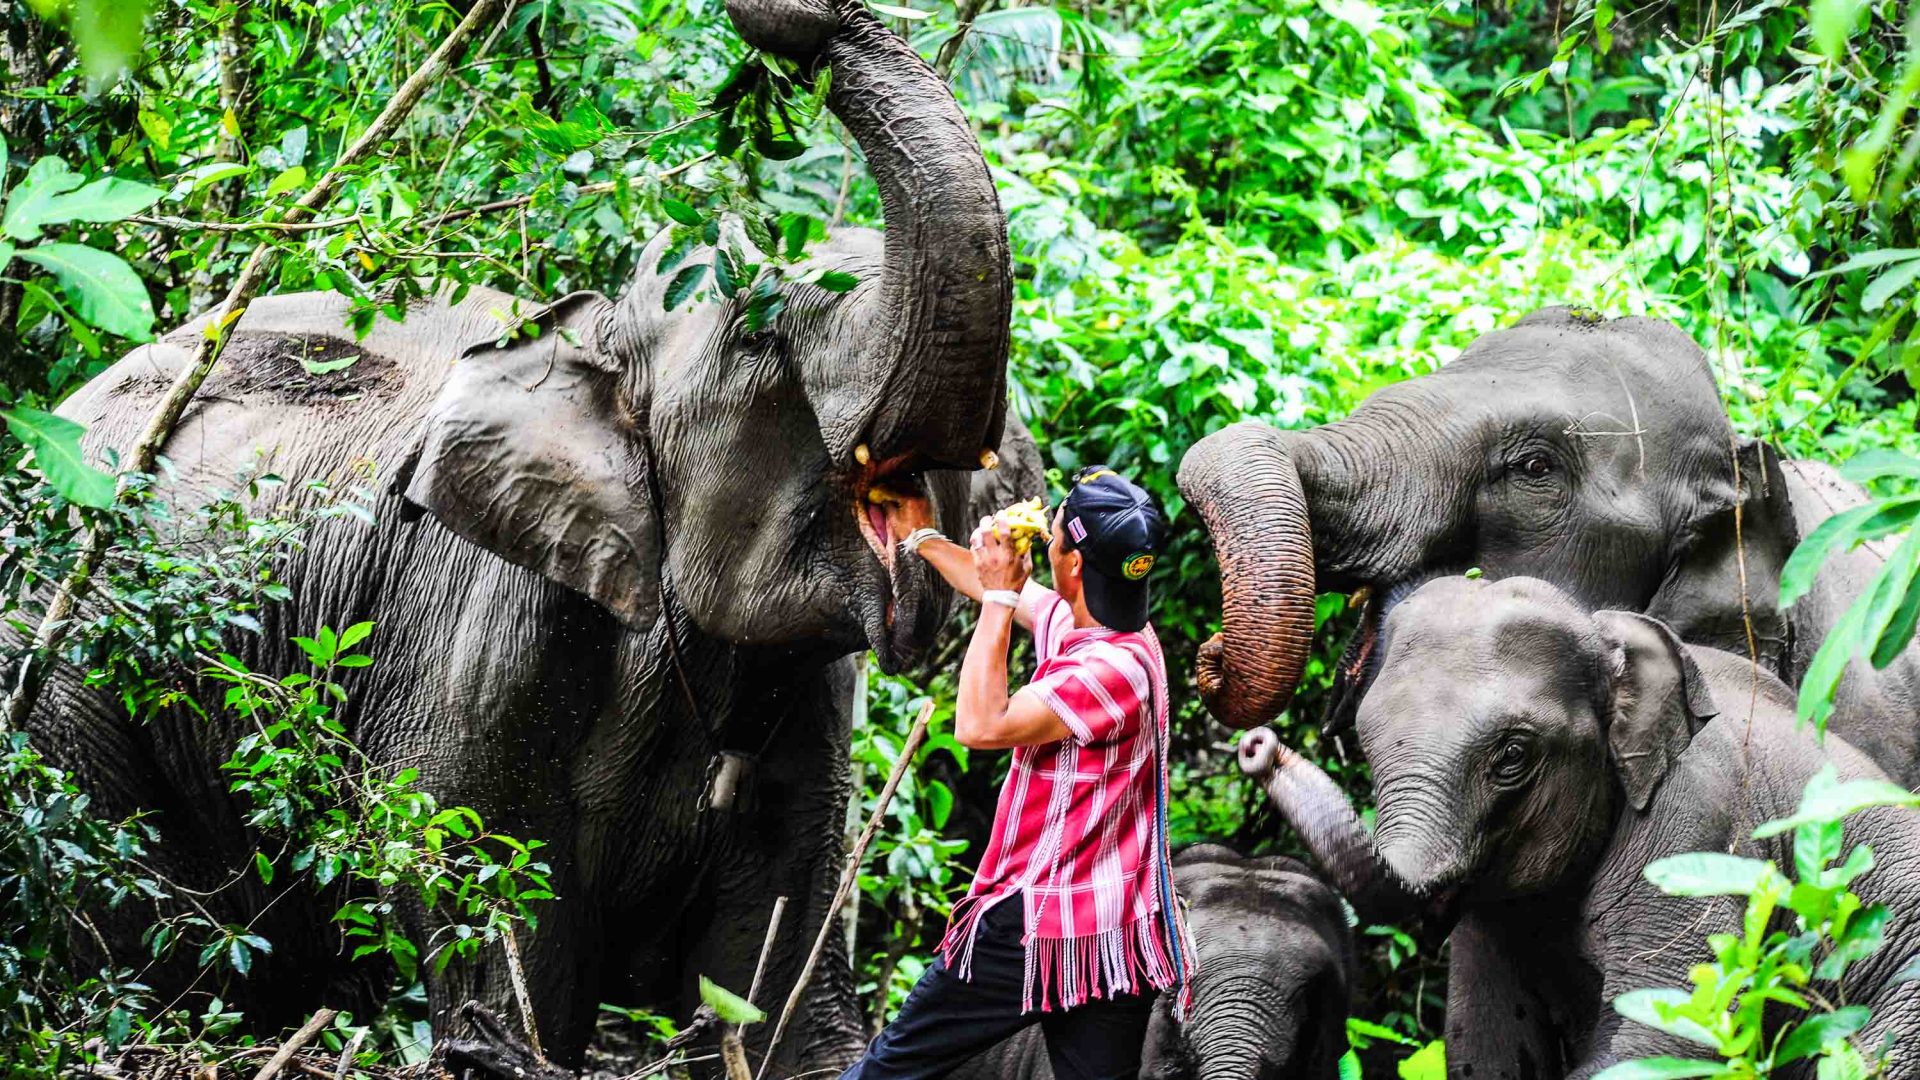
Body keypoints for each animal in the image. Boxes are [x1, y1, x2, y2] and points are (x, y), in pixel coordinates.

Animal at [19, 0, 1011, 1068]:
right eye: (761, 331)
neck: (595, 328)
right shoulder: (477, 612)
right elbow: (480, 879)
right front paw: (496, 1038)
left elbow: (778, 976)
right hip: (60, 673)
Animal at [1239, 575, 1920, 1079]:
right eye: (1364, 739)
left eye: (1513, 755)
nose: (1258, 745)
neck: (1607, 633)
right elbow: (1486, 1049)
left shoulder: (1696, 823)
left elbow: (1668, 1033)